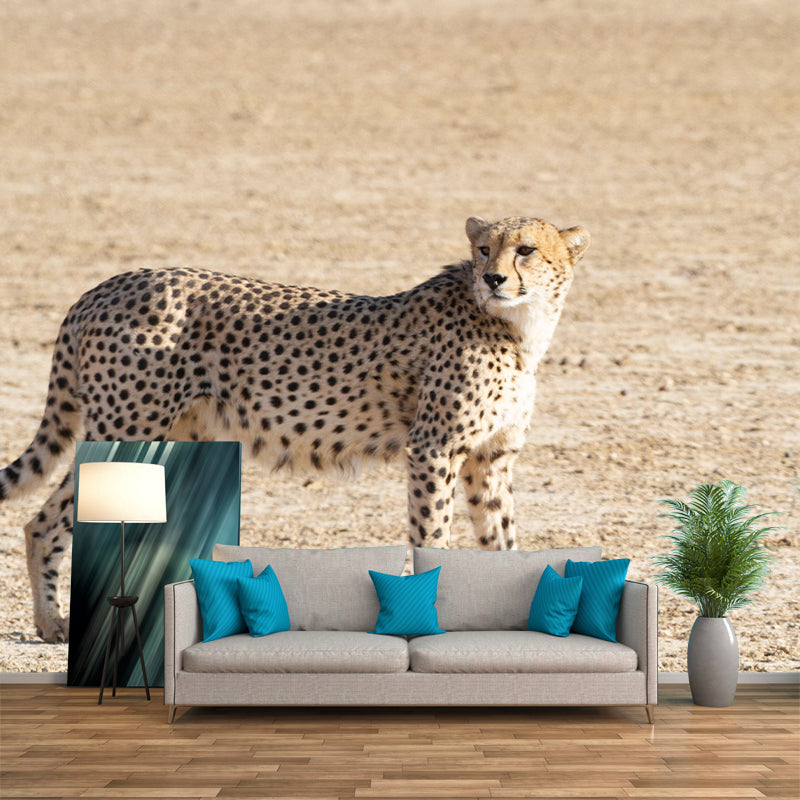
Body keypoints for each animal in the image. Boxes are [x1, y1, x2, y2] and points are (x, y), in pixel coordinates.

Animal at [0, 216, 589, 642]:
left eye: (526, 250)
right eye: (484, 250)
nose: (493, 278)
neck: (519, 326)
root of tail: (103, 286)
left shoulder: (490, 459)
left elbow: (502, 543)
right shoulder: (434, 448)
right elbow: (433, 539)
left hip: (175, 432)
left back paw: (52, 622)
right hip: (129, 428)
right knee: (46, 522)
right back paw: (54, 623)